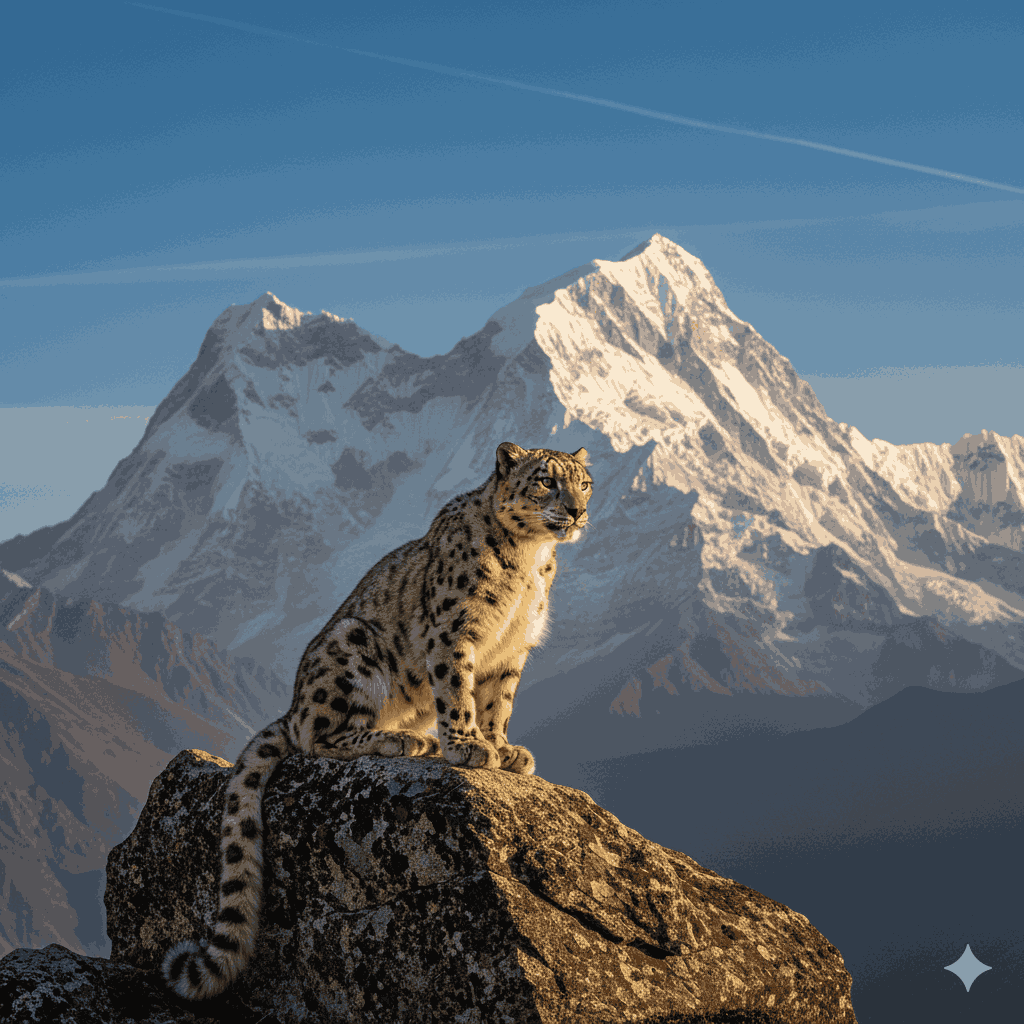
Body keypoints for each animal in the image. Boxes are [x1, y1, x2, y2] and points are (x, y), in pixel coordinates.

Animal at [161, 441, 593, 1000]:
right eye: (545, 481)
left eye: (584, 482)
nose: (578, 511)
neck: (530, 561)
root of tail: (293, 703)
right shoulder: (454, 633)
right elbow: (457, 690)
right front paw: (467, 746)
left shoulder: (512, 650)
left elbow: (498, 703)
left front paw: (504, 748)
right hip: (352, 651)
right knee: (316, 735)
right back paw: (401, 741)